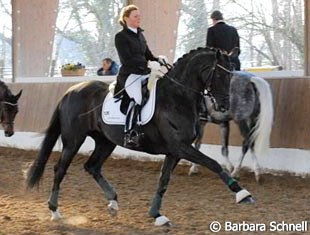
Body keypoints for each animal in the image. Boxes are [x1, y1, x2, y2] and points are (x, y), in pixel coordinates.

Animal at [26, 47, 254, 226]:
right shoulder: (181, 147)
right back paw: (55, 211)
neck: (178, 97)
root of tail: (71, 90)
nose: (224, 106)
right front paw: (242, 194)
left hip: (105, 141)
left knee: (92, 167)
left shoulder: (175, 151)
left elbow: (163, 180)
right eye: (220, 76)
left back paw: (113, 202)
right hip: (74, 140)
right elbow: (213, 163)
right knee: (60, 169)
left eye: (231, 76)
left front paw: (157, 215)